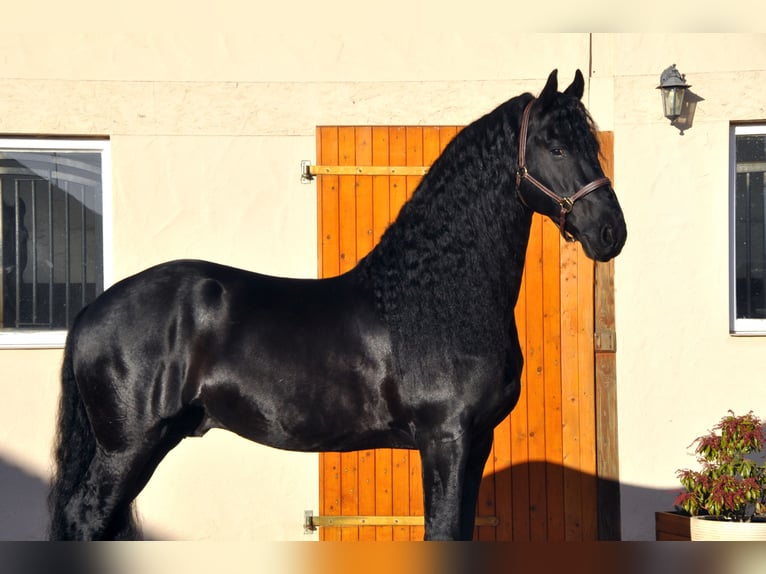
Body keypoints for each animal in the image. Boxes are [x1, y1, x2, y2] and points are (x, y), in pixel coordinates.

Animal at [48, 69, 626, 541]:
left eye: (592, 145)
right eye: (554, 147)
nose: (610, 232)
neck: (438, 298)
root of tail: (92, 311)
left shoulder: (477, 441)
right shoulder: (446, 439)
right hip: (128, 447)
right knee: (86, 518)